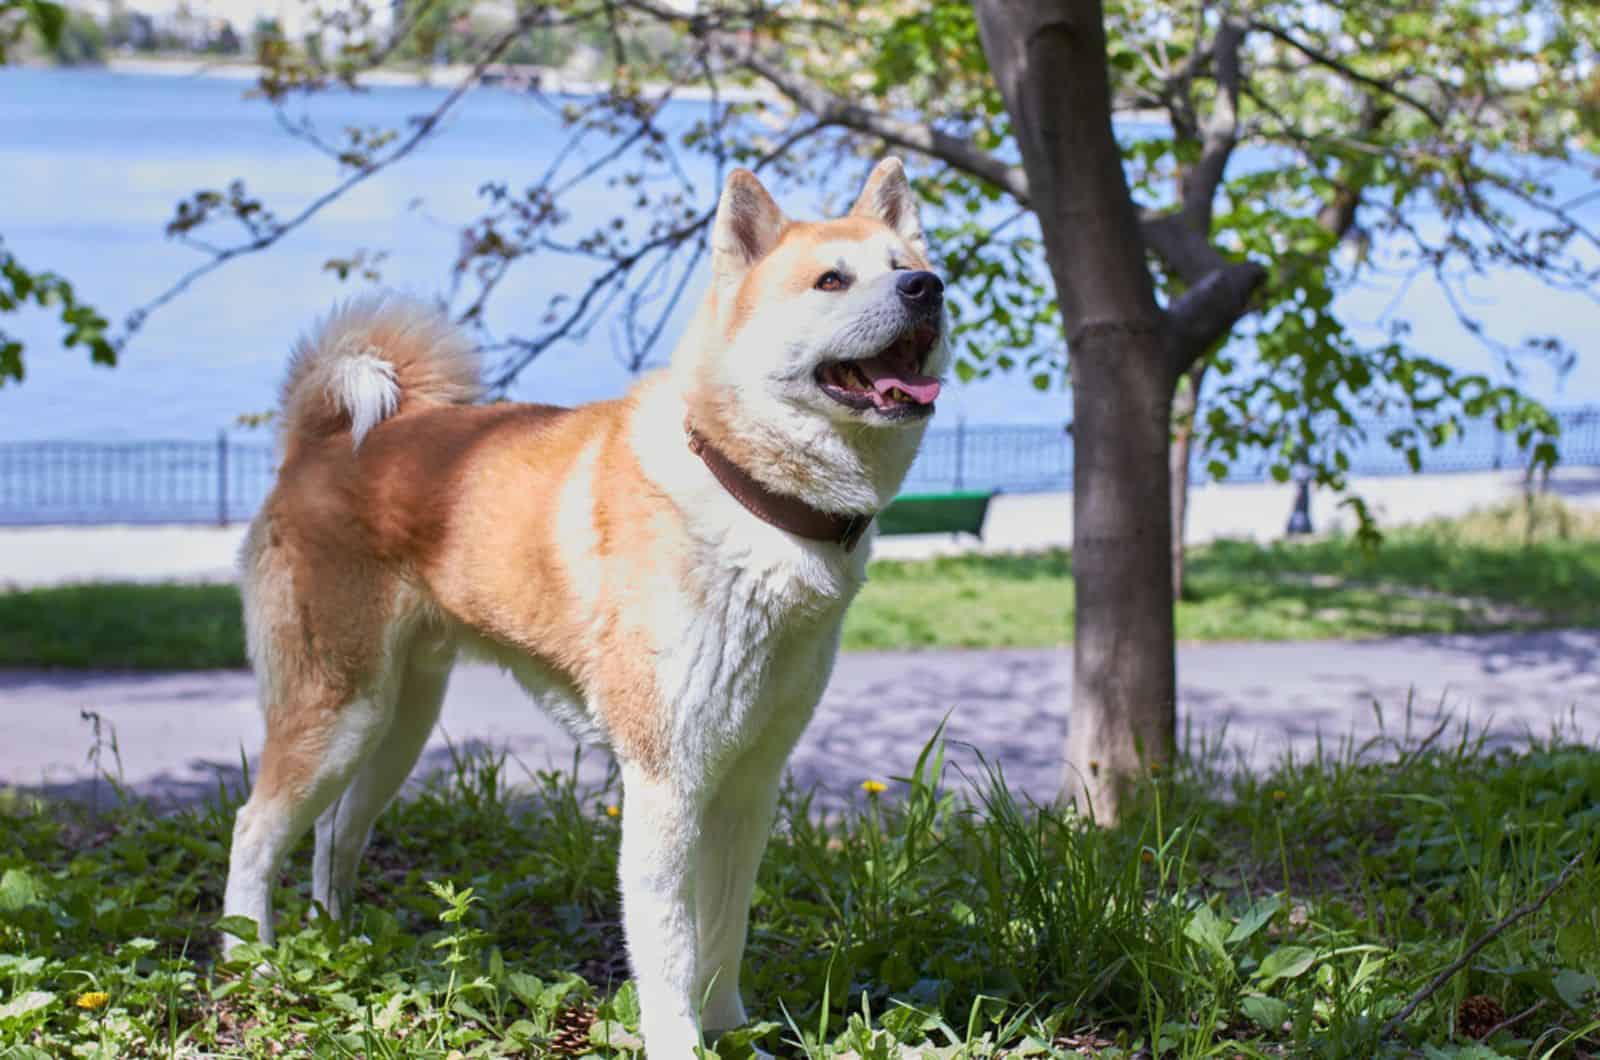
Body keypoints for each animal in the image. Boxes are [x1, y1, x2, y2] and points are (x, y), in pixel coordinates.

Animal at [224, 156, 947, 1056]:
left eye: (904, 264)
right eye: (831, 280)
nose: (928, 287)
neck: (748, 496)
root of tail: (317, 443)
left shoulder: (749, 781)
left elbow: (725, 934)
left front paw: (731, 1030)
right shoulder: (666, 781)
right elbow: (671, 949)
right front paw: (681, 1043)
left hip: (397, 724)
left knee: (335, 834)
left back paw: (347, 944)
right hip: (336, 711)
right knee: (252, 833)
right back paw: (251, 964)